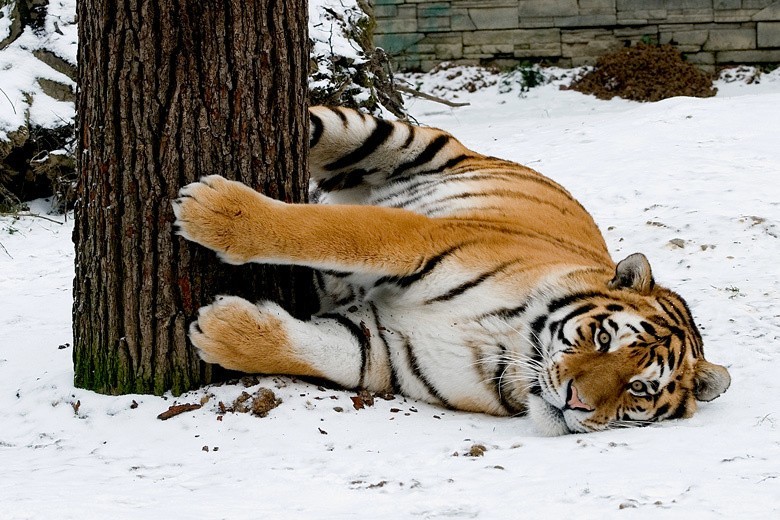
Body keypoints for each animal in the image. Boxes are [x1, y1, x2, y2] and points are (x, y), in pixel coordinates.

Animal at [171, 104, 732, 434]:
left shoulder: (385, 349)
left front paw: (219, 331)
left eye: (639, 389)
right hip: (381, 137)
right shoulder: (416, 241)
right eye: (602, 338)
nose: (576, 402)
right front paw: (210, 211)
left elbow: (322, 350)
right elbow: (329, 232)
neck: (508, 342)